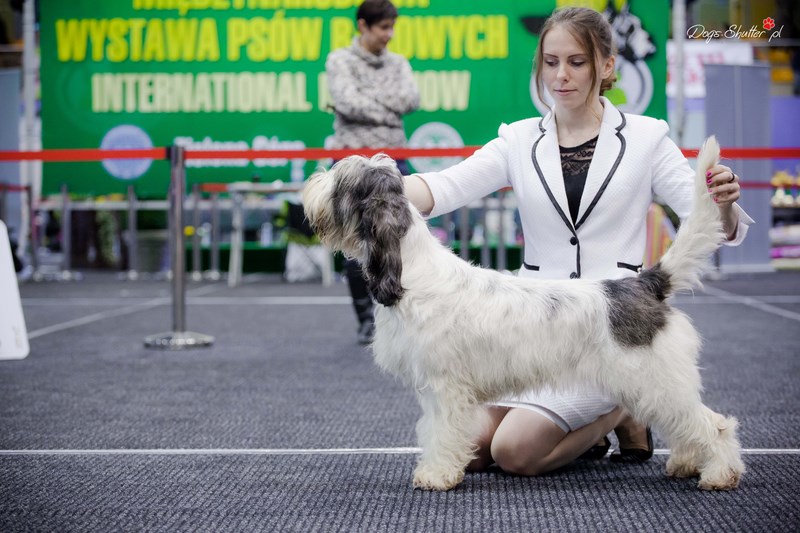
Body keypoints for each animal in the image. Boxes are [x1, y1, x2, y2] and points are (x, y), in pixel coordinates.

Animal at [302, 137, 744, 491]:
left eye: (343, 180)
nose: (310, 183)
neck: (412, 272)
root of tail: (644, 283)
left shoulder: (445, 388)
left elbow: (442, 433)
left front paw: (437, 477)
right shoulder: (432, 391)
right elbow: (430, 431)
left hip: (656, 380)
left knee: (714, 424)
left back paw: (719, 474)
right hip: (653, 384)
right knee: (687, 424)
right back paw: (685, 463)